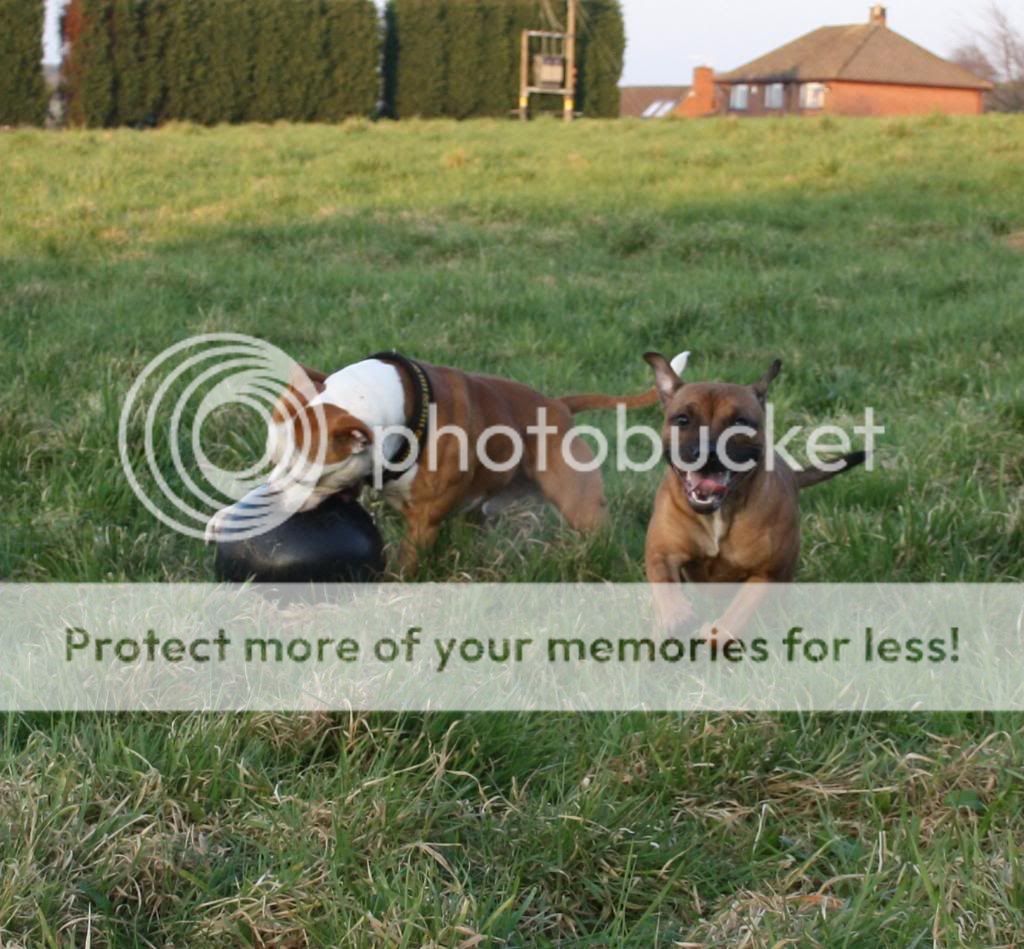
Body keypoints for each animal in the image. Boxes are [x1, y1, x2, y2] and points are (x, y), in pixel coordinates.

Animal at [209, 350, 671, 573]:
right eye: (273, 461)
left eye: (305, 474)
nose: (270, 499)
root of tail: (558, 405)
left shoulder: (423, 523)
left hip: (581, 506)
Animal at [643, 352, 860, 634]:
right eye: (682, 420)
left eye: (740, 423)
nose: (707, 452)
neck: (718, 515)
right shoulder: (662, 553)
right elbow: (665, 586)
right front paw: (676, 616)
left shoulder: (766, 574)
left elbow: (737, 615)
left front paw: (716, 634)